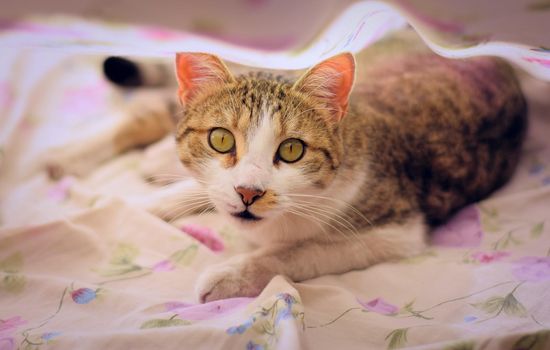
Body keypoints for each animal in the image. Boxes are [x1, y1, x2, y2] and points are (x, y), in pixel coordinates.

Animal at [47, 30, 532, 304]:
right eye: (221, 140)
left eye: (293, 150)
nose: (249, 192)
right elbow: (198, 188)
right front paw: (150, 203)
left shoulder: (396, 229)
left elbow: (299, 251)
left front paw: (231, 274)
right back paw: (67, 158)